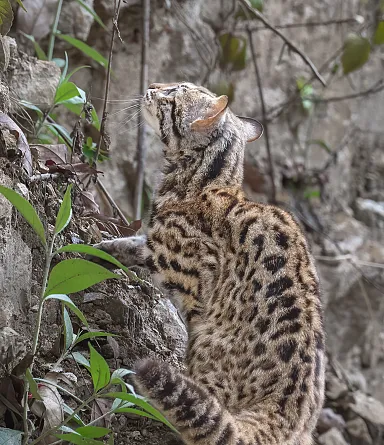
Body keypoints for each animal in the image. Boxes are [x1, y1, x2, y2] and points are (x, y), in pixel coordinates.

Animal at [96, 81, 324, 442]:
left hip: (206, 342)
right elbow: (127, 244)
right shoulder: (154, 244)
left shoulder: (176, 263)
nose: (152, 85)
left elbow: (134, 251)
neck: (206, 181)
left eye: (173, 94)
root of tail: (289, 412)